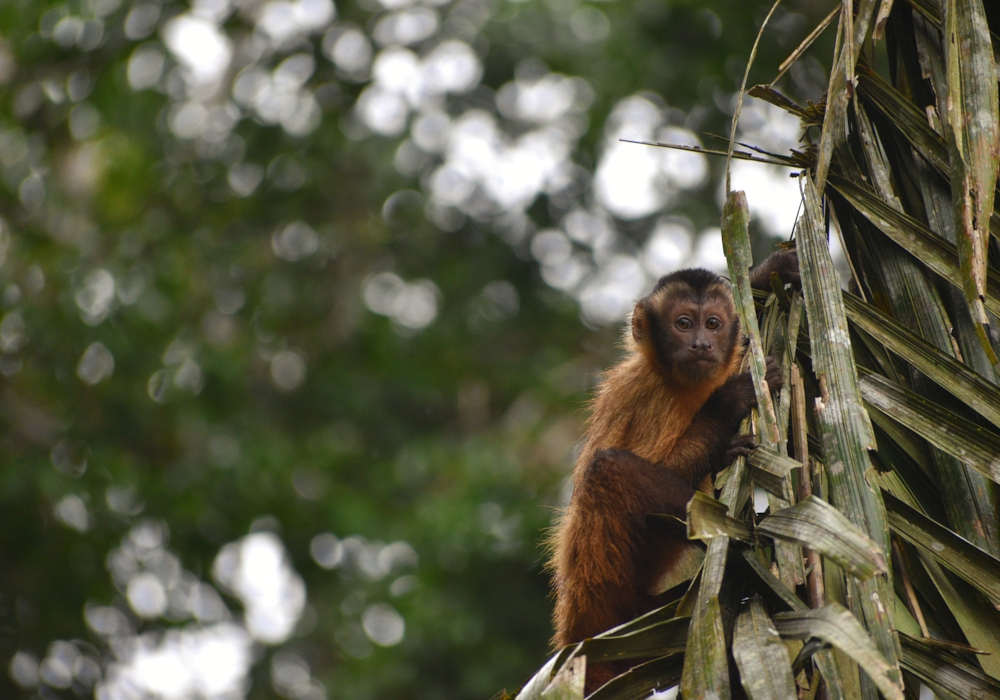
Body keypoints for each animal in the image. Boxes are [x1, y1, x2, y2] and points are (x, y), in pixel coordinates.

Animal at [548, 249, 796, 692]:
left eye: (712, 323)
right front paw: (729, 403)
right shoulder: (646, 392)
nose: (701, 344)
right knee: (608, 468)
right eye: (683, 324)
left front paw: (768, 271)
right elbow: (661, 466)